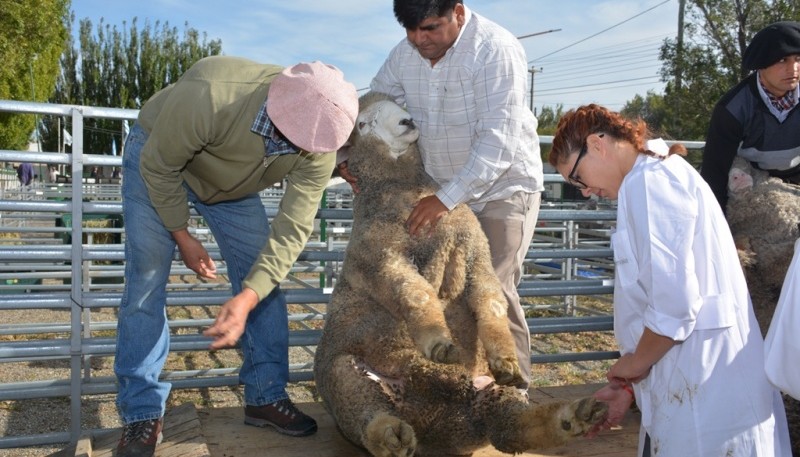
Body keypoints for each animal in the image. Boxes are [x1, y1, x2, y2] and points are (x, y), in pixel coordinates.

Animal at [314, 92, 608, 456]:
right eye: (361, 123)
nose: (407, 121)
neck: (405, 188)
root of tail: (433, 427)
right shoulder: (381, 258)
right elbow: (416, 292)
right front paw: (438, 341)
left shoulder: (477, 254)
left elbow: (491, 303)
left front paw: (505, 359)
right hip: (344, 375)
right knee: (367, 412)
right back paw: (392, 436)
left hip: (486, 397)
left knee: (509, 427)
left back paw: (574, 418)